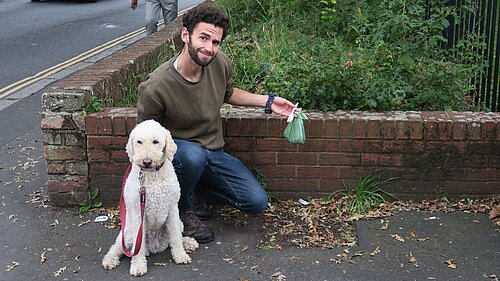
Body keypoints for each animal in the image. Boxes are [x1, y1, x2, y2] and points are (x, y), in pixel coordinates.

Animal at [102, 119, 198, 274]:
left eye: (155, 141)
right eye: (139, 142)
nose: (146, 161)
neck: (152, 174)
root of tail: (154, 246)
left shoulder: (172, 209)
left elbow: (176, 237)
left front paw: (181, 255)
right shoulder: (137, 214)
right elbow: (138, 245)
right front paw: (138, 265)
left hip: (179, 223)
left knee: (174, 237)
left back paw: (188, 242)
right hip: (127, 233)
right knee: (117, 247)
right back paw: (110, 260)